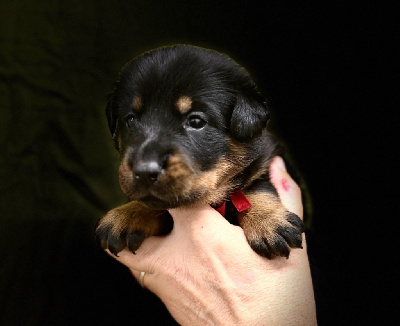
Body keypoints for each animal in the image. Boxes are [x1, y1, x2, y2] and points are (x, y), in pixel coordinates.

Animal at [96, 44, 304, 258]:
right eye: (130, 120)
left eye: (196, 121)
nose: (144, 171)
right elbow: (154, 202)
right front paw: (128, 213)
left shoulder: (268, 156)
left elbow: (256, 186)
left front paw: (268, 220)